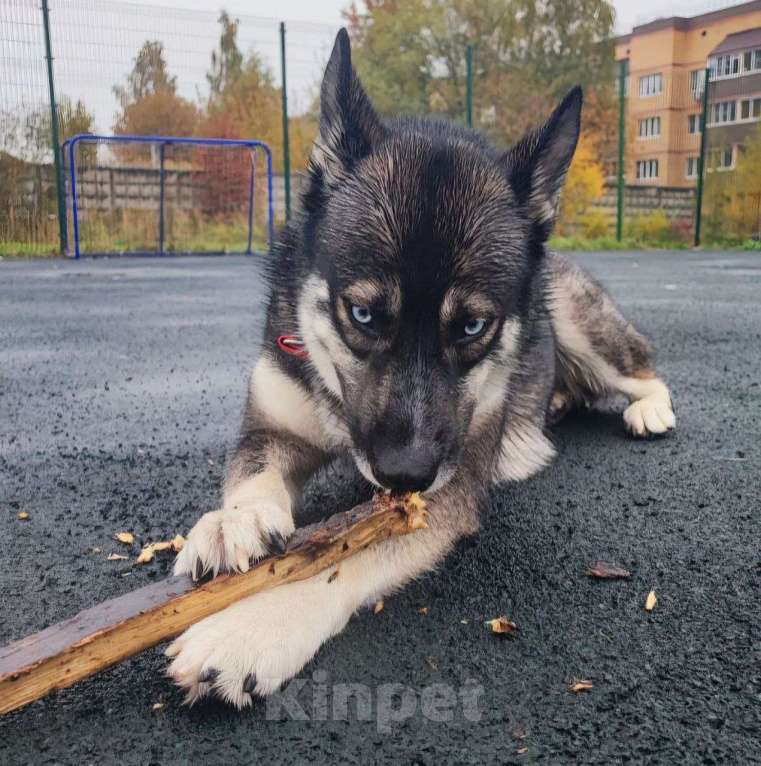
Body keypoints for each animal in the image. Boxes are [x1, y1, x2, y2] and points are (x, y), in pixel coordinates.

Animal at [169, 31, 672, 712]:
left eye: (472, 327)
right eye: (361, 313)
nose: (405, 474)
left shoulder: (447, 494)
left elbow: (340, 560)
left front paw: (250, 627)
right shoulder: (271, 428)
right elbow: (254, 477)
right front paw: (234, 522)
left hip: (575, 319)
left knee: (645, 366)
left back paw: (650, 408)